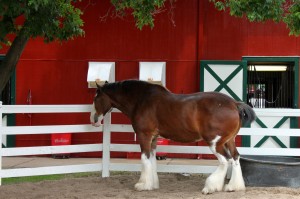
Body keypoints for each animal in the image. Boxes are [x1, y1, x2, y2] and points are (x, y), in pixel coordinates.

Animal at [89, 79, 255, 194]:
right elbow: (152, 159)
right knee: (235, 158)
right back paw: (233, 187)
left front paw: (143, 185)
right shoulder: (154, 138)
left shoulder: (144, 136)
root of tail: (234, 103)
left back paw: (210, 187)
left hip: (215, 142)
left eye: (96, 98)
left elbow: (144, 158)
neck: (142, 100)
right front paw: (152, 184)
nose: (93, 120)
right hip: (229, 141)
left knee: (225, 161)